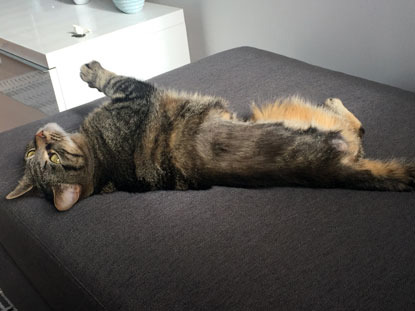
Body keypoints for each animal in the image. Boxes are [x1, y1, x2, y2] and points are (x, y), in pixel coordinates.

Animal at [6, 60, 415, 212]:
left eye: (39, 155)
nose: (40, 134)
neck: (103, 161)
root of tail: (336, 171)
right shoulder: (137, 94)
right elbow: (111, 79)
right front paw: (90, 71)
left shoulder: (134, 96)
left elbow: (109, 80)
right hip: (314, 121)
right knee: (357, 126)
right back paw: (335, 100)